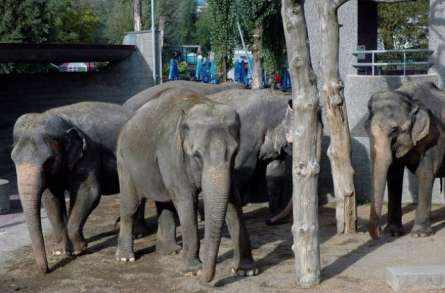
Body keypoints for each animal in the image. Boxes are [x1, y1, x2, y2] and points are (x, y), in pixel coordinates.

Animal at [11, 101, 131, 272]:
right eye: (12, 159)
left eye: (48, 161)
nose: (47, 270)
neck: (62, 118)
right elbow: (51, 199)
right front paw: (60, 251)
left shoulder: (89, 153)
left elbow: (89, 193)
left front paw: (78, 250)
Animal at [114, 88, 256, 280]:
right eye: (196, 155)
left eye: (235, 153)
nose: (206, 279)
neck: (197, 104)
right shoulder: (171, 154)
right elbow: (186, 200)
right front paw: (194, 271)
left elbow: (233, 200)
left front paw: (246, 270)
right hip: (123, 162)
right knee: (131, 206)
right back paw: (125, 258)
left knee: (165, 203)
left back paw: (169, 251)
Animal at [364, 81, 444, 238]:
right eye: (368, 130)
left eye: (394, 130)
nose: (379, 231)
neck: (409, 98)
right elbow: (394, 175)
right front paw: (393, 232)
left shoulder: (432, 137)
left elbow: (425, 175)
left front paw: (419, 234)